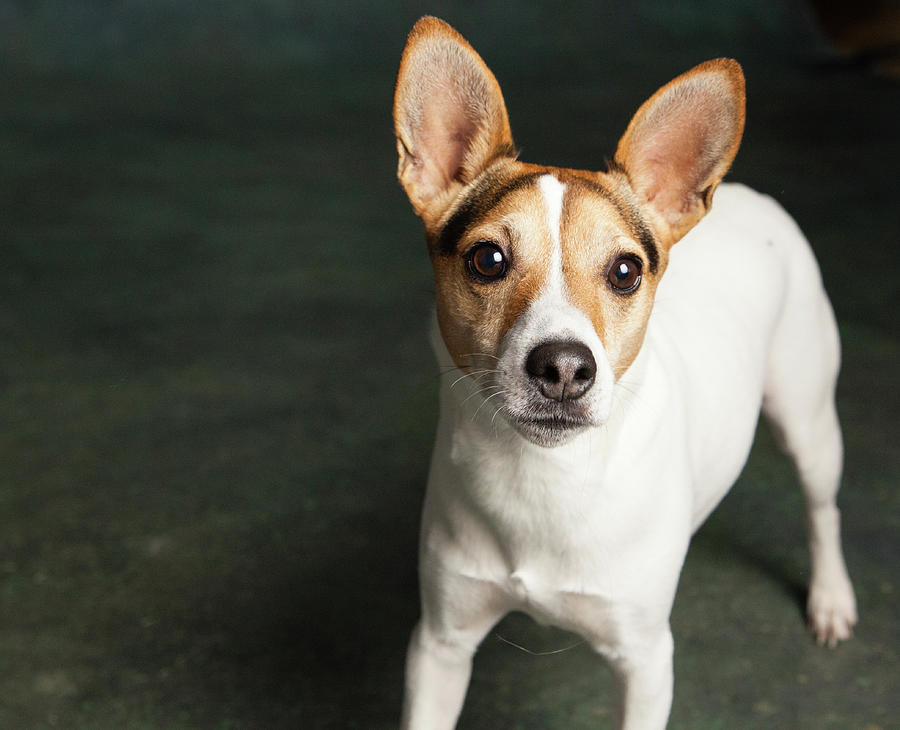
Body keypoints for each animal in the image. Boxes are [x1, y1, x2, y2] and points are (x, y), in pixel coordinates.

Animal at [394, 17, 856, 728]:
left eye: (624, 271)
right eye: (487, 259)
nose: (563, 367)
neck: (548, 477)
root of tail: (749, 195)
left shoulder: (644, 660)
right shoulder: (440, 645)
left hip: (808, 422)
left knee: (822, 508)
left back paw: (831, 597)